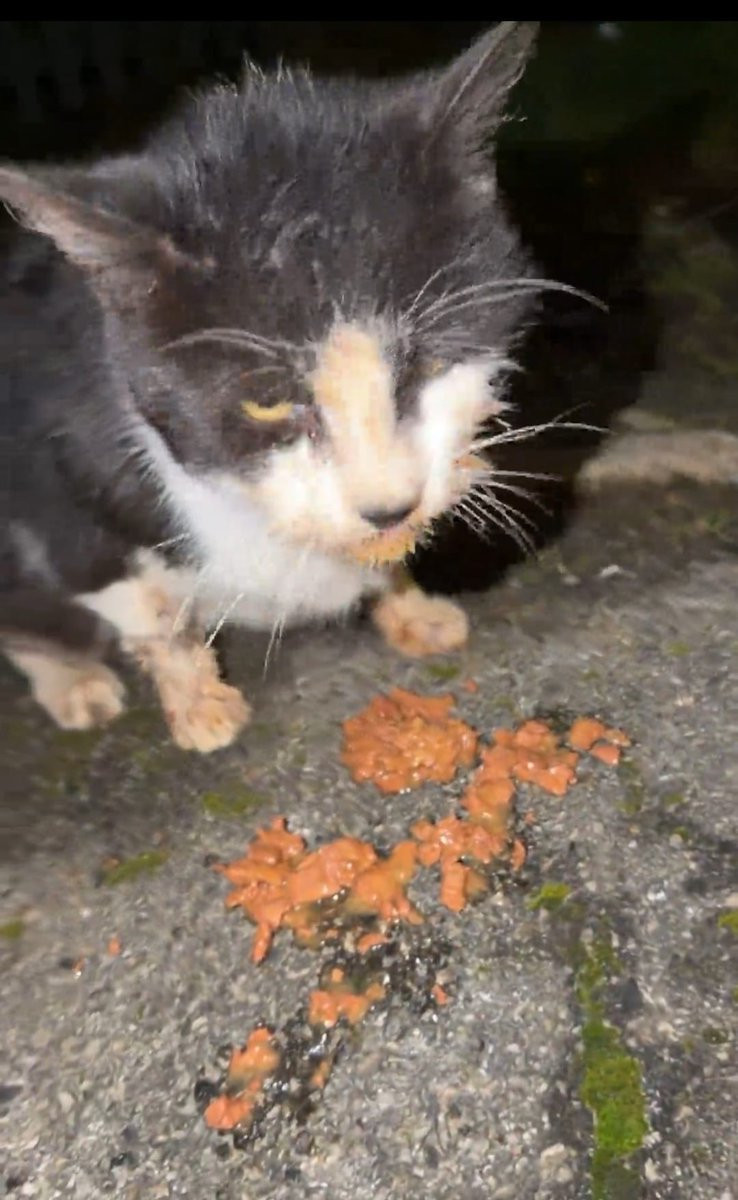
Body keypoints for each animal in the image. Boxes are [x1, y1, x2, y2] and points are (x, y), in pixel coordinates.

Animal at [0, 21, 542, 752]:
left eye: (430, 360)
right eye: (266, 400)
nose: (388, 507)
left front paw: (417, 612)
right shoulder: (52, 478)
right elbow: (140, 604)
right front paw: (202, 710)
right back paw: (75, 683)